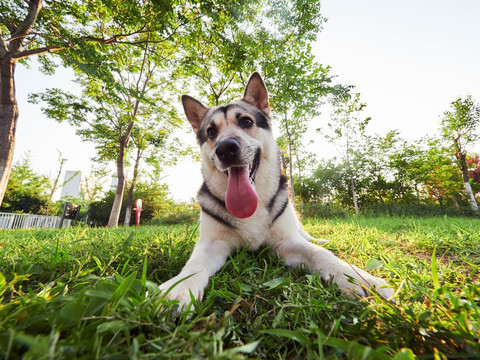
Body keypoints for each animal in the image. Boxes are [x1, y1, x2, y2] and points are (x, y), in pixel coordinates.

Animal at [158, 71, 394, 308]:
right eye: (211, 131)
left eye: (246, 121)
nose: (225, 149)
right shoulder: (212, 244)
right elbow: (194, 264)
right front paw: (178, 288)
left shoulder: (286, 242)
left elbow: (322, 254)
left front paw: (356, 276)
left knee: (305, 235)